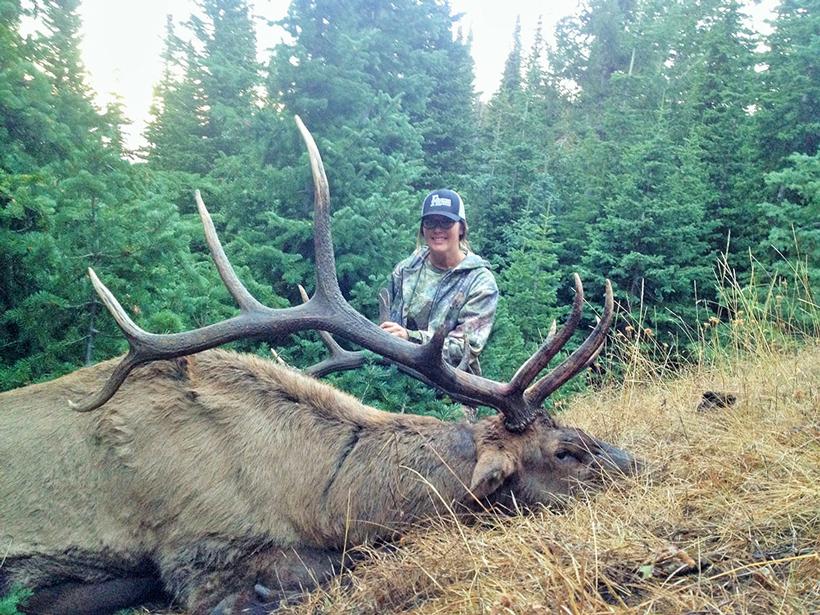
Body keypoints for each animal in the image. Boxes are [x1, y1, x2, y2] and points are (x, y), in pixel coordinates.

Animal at [0, 117, 639, 615]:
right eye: (566, 452)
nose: (637, 463)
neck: (320, 497)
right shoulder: (197, 550)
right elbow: (320, 570)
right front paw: (265, 594)